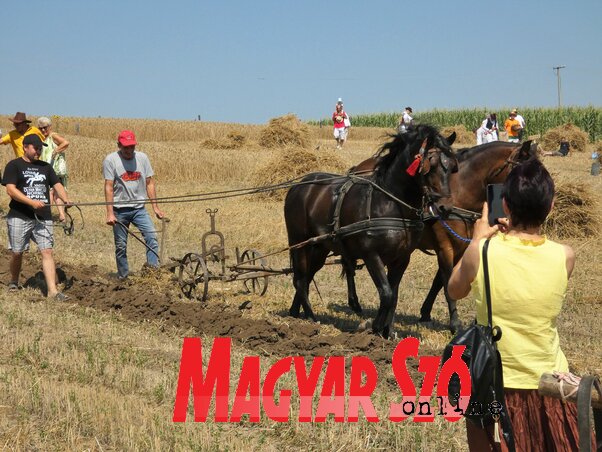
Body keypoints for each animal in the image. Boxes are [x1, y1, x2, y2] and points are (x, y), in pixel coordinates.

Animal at [282, 125, 454, 338]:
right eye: (431, 164)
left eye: (452, 166)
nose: (445, 207)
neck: (390, 203)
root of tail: (298, 186)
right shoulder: (371, 255)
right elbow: (386, 293)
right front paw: (375, 328)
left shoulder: (402, 258)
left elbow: (394, 296)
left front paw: (387, 332)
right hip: (299, 242)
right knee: (300, 279)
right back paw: (312, 319)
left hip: (319, 247)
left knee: (304, 278)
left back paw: (295, 313)